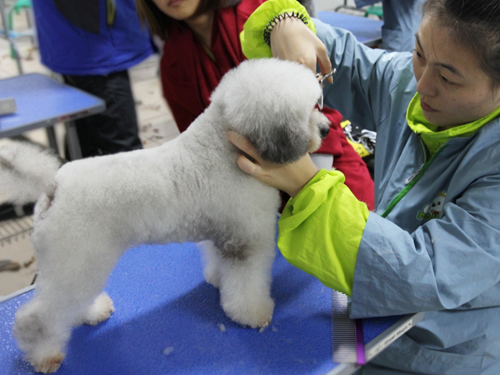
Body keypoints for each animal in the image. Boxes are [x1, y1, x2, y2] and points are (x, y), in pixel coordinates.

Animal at [0, 58, 330, 374]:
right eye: (306, 112)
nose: (327, 129)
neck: (221, 150)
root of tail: (53, 187)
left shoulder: (223, 231)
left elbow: (218, 262)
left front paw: (217, 280)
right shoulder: (247, 239)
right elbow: (248, 283)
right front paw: (253, 314)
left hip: (78, 262)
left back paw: (92, 312)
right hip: (76, 258)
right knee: (38, 317)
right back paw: (45, 356)